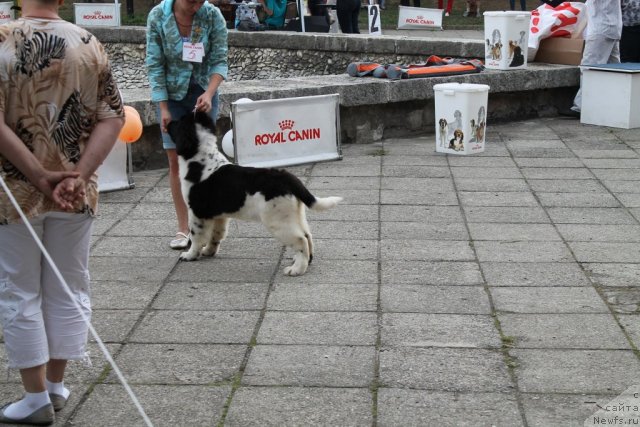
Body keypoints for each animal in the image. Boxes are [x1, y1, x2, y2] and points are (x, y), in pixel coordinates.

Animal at [168, 111, 342, 278]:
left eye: (179, 121)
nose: (167, 121)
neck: (200, 159)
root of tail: (287, 178)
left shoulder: (197, 212)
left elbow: (196, 236)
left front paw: (190, 255)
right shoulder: (218, 214)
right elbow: (216, 234)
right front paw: (209, 251)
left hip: (277, 220)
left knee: (301, 240)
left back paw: (296, 270)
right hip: (294, 214)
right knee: (307, 234)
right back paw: (304, 261)